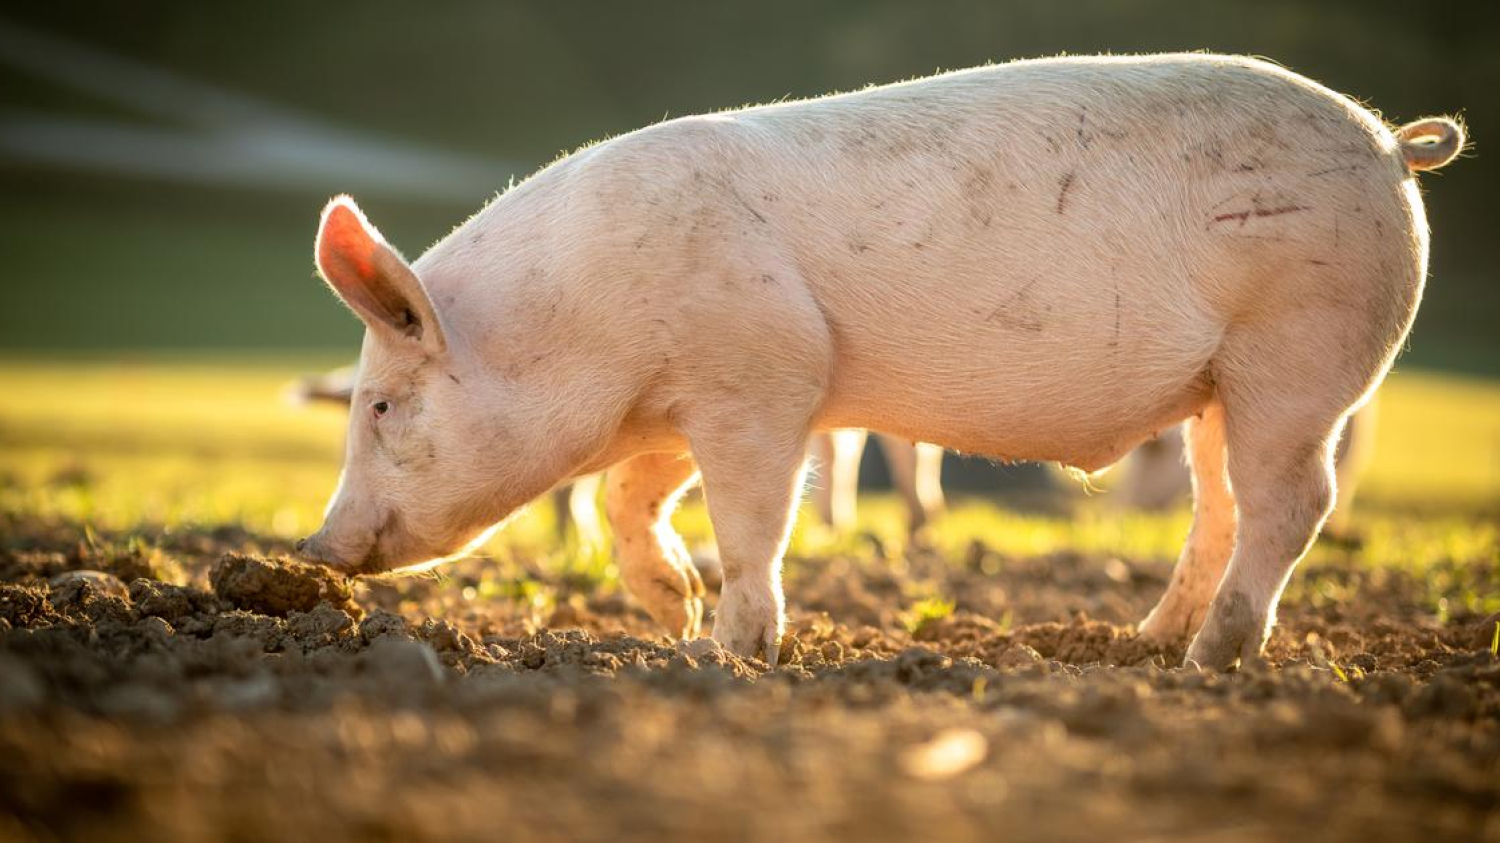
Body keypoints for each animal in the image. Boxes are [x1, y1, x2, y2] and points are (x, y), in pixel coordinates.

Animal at [296, 53, 1465, 668]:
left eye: (383, 407)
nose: (315, 546)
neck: (582, 318)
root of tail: (1391, 144)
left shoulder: (762, 377)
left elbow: (753, 524)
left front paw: (731, 652)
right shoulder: (682, 401)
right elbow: (633, 499)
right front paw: (675, 616)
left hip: (1303, 354)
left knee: (1293, 502)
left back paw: (1208, 660)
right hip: (1220, 388)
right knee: (1216, 505)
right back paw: (1143, 640)